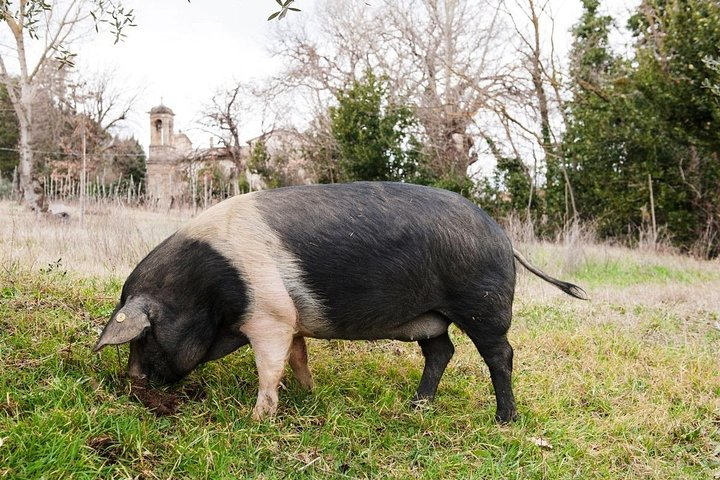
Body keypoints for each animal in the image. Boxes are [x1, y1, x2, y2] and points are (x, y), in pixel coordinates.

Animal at [93, 182, 584, 422]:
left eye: (144, 336)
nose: (133, 382)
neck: (206, 289)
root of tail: (504, 236)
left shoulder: (270, 315)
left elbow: (269, 367)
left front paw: (256, 419)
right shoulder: (290, 318)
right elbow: (298, 357)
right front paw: (310, 395)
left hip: (483, 306)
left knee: (501, 355)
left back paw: (505, 420)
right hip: (432, 317)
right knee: (443, 351)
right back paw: (416, 407)